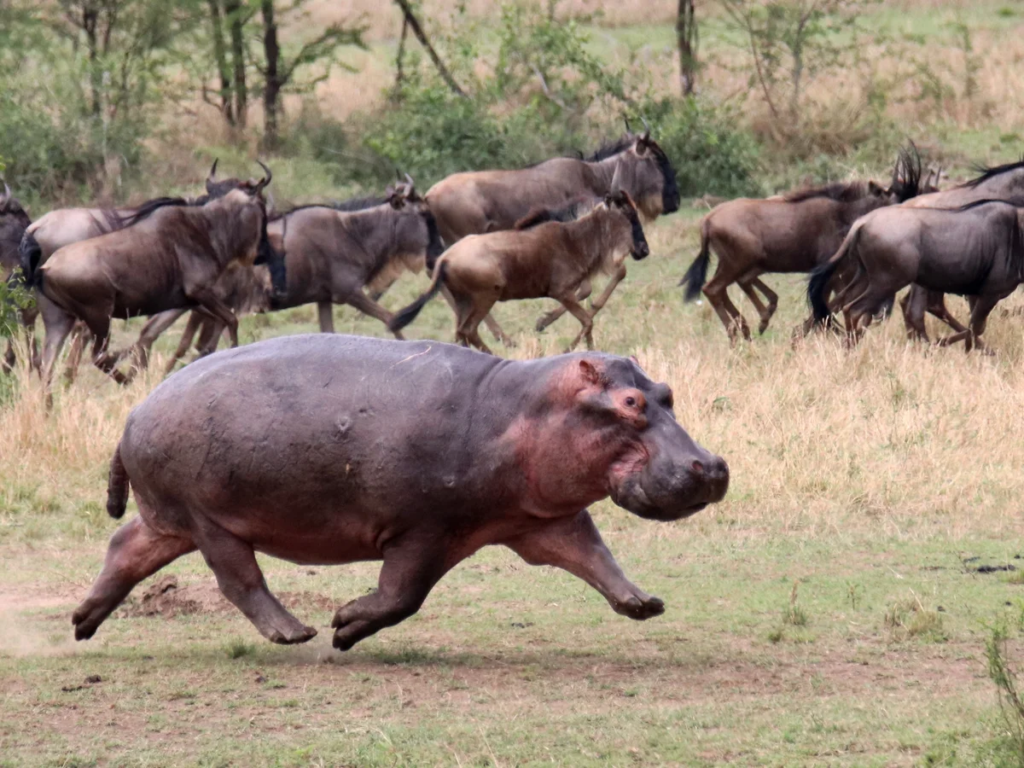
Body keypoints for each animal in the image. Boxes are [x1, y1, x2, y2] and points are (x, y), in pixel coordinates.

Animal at [72, 335, 728, 650]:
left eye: (666, 392)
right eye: (631, 402)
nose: (713, 467)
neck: (524, 408)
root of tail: (134, 412)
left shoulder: (542, 517)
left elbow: (594, 556)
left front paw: (644, 603)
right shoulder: (425, 529)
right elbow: (402, 596)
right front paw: (343, 625)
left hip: (171, 518)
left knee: (125, 547)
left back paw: (82, 622)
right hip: (210, 519)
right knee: (239, 579)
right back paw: (296, 633)